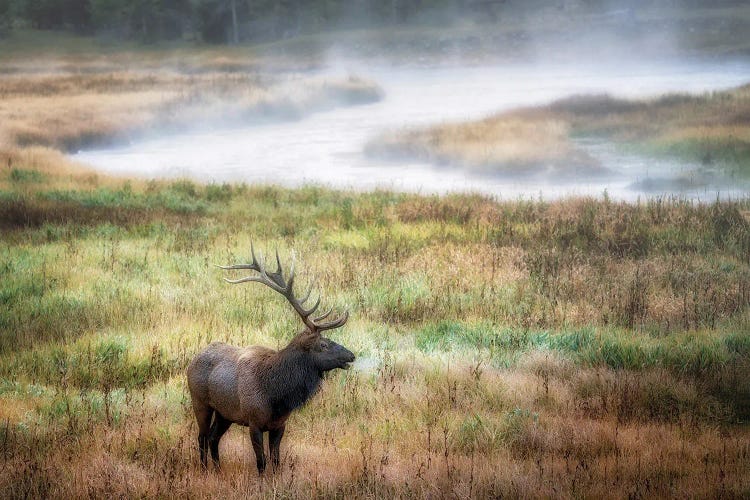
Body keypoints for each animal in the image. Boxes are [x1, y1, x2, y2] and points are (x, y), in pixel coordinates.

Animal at [187, 246, 354, 472]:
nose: (351, 355)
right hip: (200, 401)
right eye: (323, 345)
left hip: (224, 413)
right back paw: (205, 470)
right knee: (202, 437)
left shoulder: (279, 425)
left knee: (214, 438)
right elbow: (261, 462)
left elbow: (275, 461)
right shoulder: (254, 422)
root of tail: (192, 361)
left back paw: (218, 470)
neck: (276, 396)